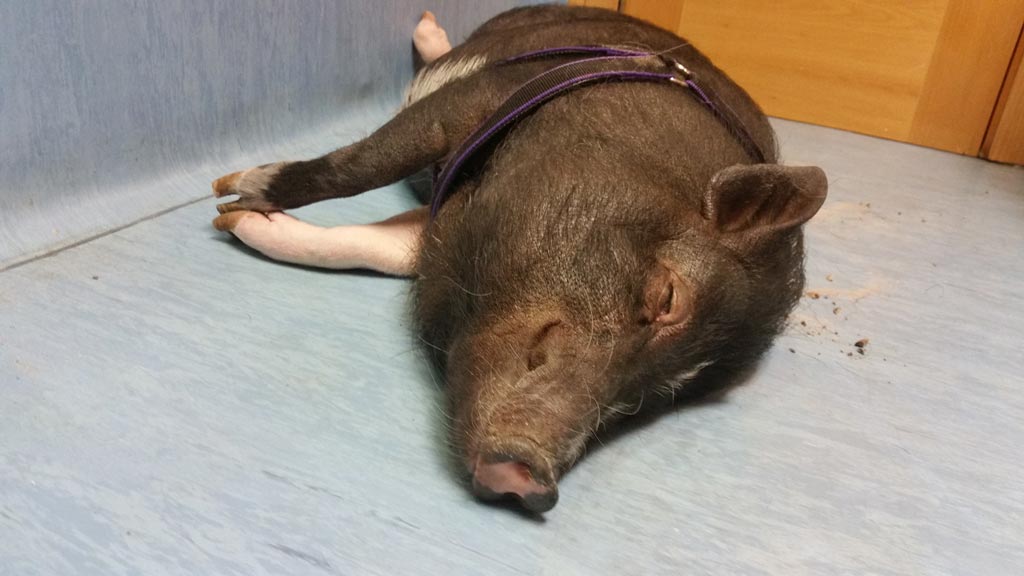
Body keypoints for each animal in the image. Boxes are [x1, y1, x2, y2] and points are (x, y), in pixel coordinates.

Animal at [210, 6, 827, 513]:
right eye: (668, 297)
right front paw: (232, 195)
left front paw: (238, 222)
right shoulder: (470, 102)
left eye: (670, 396)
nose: (531, 480)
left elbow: (371, 246)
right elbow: (360, 165)